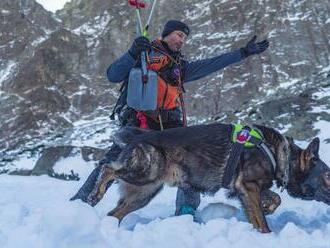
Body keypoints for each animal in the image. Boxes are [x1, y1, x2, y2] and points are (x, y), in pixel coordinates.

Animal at [70, 123, 330, 233]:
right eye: (328, 175)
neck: (279, 154)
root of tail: (136, 137)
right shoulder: (248, 186)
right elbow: (263, 219)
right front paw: (266, 235)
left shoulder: (248, 188)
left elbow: (275, 200)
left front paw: (267, 208)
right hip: (145, 172)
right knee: (107, 168)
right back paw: (95, 193)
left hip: (143, 193)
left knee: (115, 213)